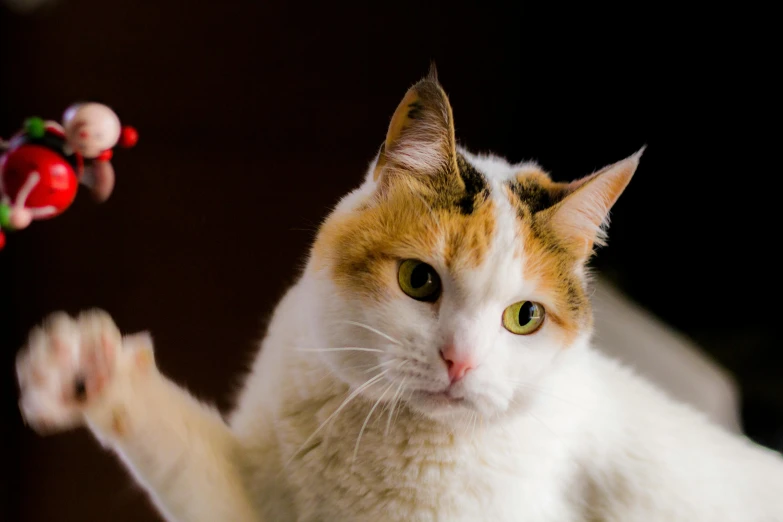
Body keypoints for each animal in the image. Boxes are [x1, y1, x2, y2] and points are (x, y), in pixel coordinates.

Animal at [15, 69, 783, 520]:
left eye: (524, 317)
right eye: (420, 280)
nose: (459, 362)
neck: (383, 443)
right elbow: (182, 451)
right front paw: (89, 373)